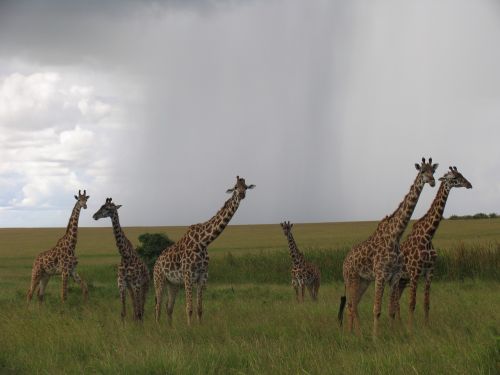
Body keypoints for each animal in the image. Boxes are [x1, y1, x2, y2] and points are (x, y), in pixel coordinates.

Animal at [153, 176, 256, 326]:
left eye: (246, 187)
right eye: (235, 187)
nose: (242, 194)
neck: (203, 242)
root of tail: (156, 262)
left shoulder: (202, 276)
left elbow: (199, 308)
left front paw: (200, 327)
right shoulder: (188, 276)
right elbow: (189, 307)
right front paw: (190, 328)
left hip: (173, 284)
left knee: (169, 307)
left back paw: (170, 328)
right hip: (159, 279)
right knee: (158, 306)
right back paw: (158, 327)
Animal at [336, 157, 438, 336]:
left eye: (433, 170)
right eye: (422, 171)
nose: (432, 181)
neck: (395, 236)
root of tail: (344, 261)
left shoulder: (395, 276)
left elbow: (391, 309)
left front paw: (392, 334)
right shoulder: (381, 274)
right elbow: (377, 309)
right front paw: (375, 338)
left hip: (364, 281)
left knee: (354, 304)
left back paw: (356, 333)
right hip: (351, 279)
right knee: (350, 305)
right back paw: (353, 334)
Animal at [396, 166, 470, 330]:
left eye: (461, 174)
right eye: (454, 177)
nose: (469, 184)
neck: (428, 236)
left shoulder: (430, 271)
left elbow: (426, 302)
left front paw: (426, 327)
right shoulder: (415, 272)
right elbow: (412, 303)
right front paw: (411, 330)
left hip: (402, 280)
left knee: (395, 300)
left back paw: (399, 324)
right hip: (397, 278)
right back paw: (399, 326)